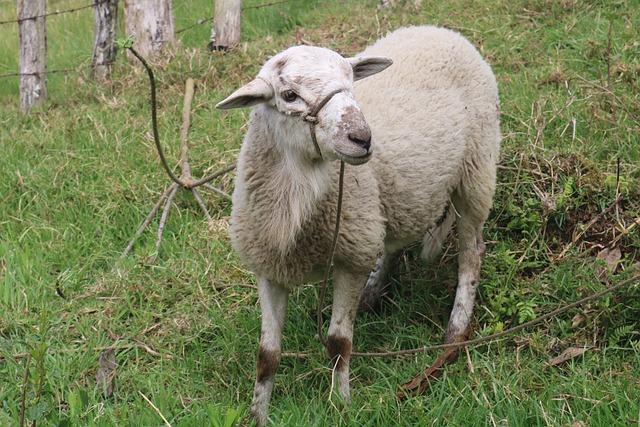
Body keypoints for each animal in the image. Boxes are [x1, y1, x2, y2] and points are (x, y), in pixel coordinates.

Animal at [215, 25, 500, 424]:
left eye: (351, 82)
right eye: (289, 95)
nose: (363, 138)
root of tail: (438, 29)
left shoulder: (349, 260)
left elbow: (339, 343)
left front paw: (340, 406)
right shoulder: (270, 268)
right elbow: (267, 356)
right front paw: (258, 414)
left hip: (476, 172)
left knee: (471, 254)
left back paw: (455, 333)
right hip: (388, 206)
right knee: (392, 241)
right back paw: (373, 292)